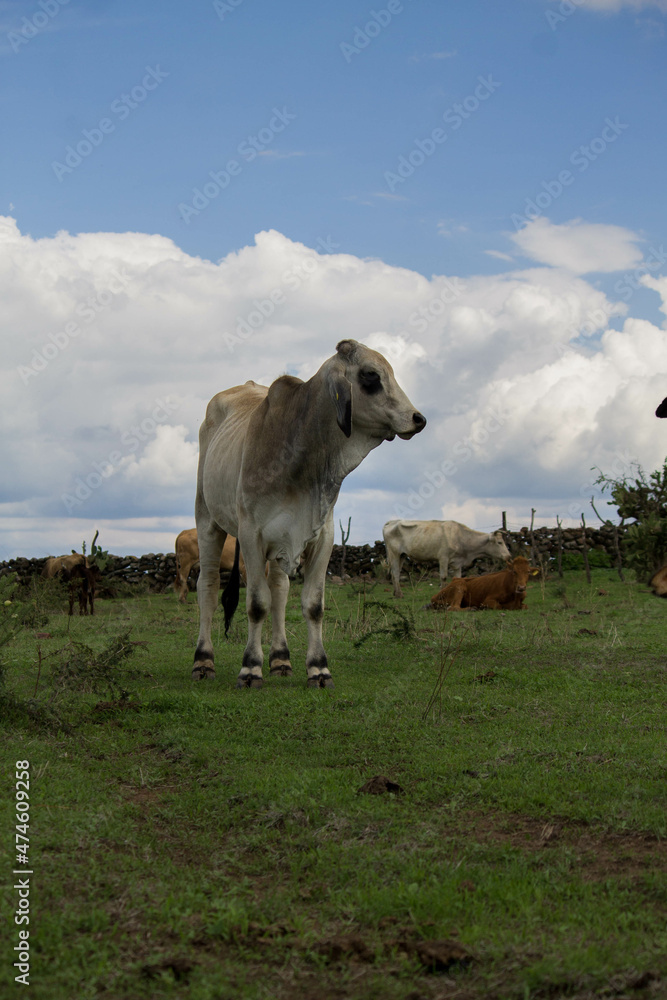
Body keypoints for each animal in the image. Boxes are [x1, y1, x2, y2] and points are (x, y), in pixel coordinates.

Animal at [191, 339, 426, 688]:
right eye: (370, 375)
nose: (417, 418)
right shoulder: (250, 535)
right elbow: (256, 604)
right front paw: (250, 668)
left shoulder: (322, 535)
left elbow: (312, 605)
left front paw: (318, 668)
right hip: (207, 520)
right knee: (207, 586)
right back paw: (203, 661)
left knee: (279, 588)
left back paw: (280, 659)